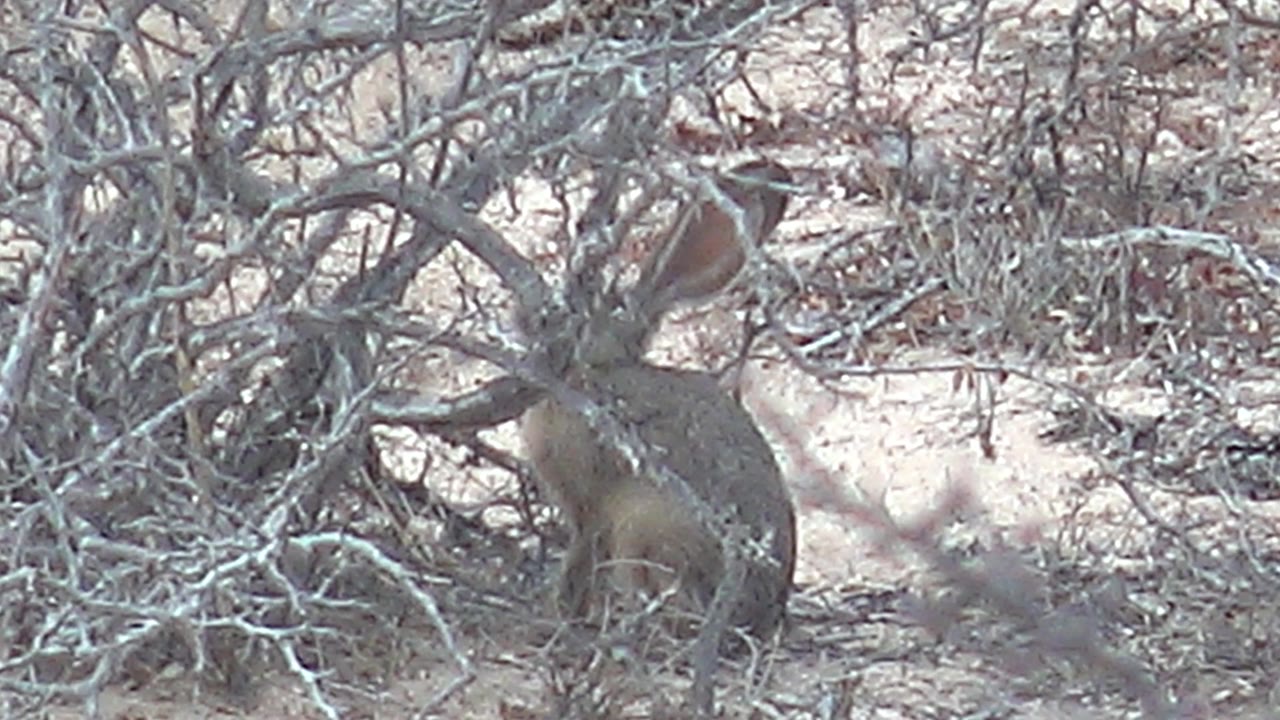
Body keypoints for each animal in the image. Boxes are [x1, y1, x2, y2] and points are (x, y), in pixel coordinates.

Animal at [522, 160, 796, 639]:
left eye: (573, 312)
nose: (525, 318)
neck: (603, 367)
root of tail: (751, 618)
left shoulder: (591, 503)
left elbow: (582, 554)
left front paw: (564, 612)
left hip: (646, 524)